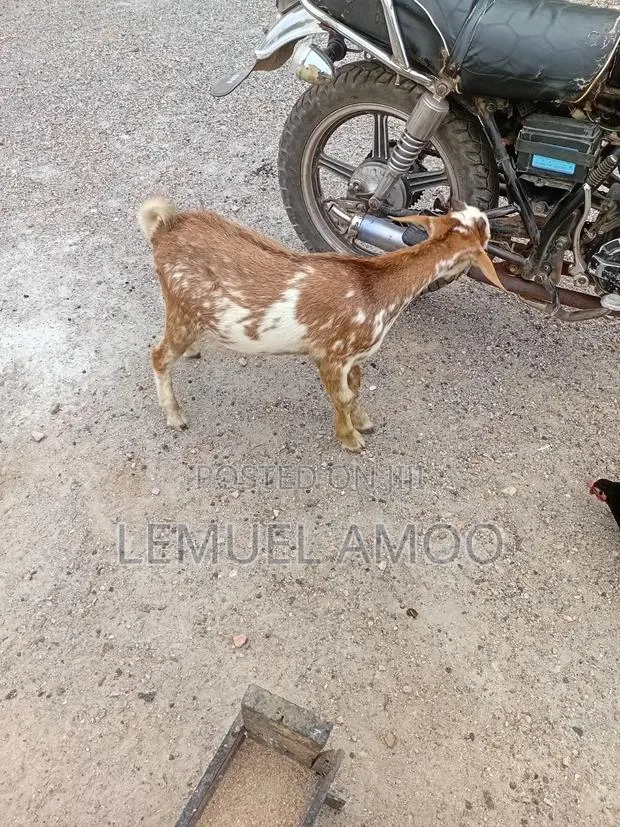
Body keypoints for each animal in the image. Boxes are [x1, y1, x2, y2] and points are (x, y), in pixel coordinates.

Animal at [138, 198, 504, 452]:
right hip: (182, 305)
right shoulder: (330, 355)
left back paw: (193, 351)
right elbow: (341, 396)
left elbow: (355, 388)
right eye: (484, 231)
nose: (487, 216)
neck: (376, 291)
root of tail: (163, 228)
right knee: (158, 356)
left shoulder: (353, 357)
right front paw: (350, 439)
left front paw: (363, 421)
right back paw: (174, 416)